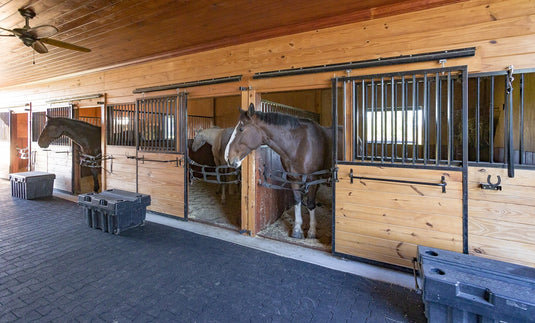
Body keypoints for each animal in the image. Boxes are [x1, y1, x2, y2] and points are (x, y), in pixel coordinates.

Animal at [224, 104, 342, 240]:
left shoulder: (313, 180)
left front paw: (312, 231)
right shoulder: (294, 179)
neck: (300, 145)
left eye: (241, 129)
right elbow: (297, 201)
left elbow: (311, 204)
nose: (227, 157)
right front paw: (297, 229)